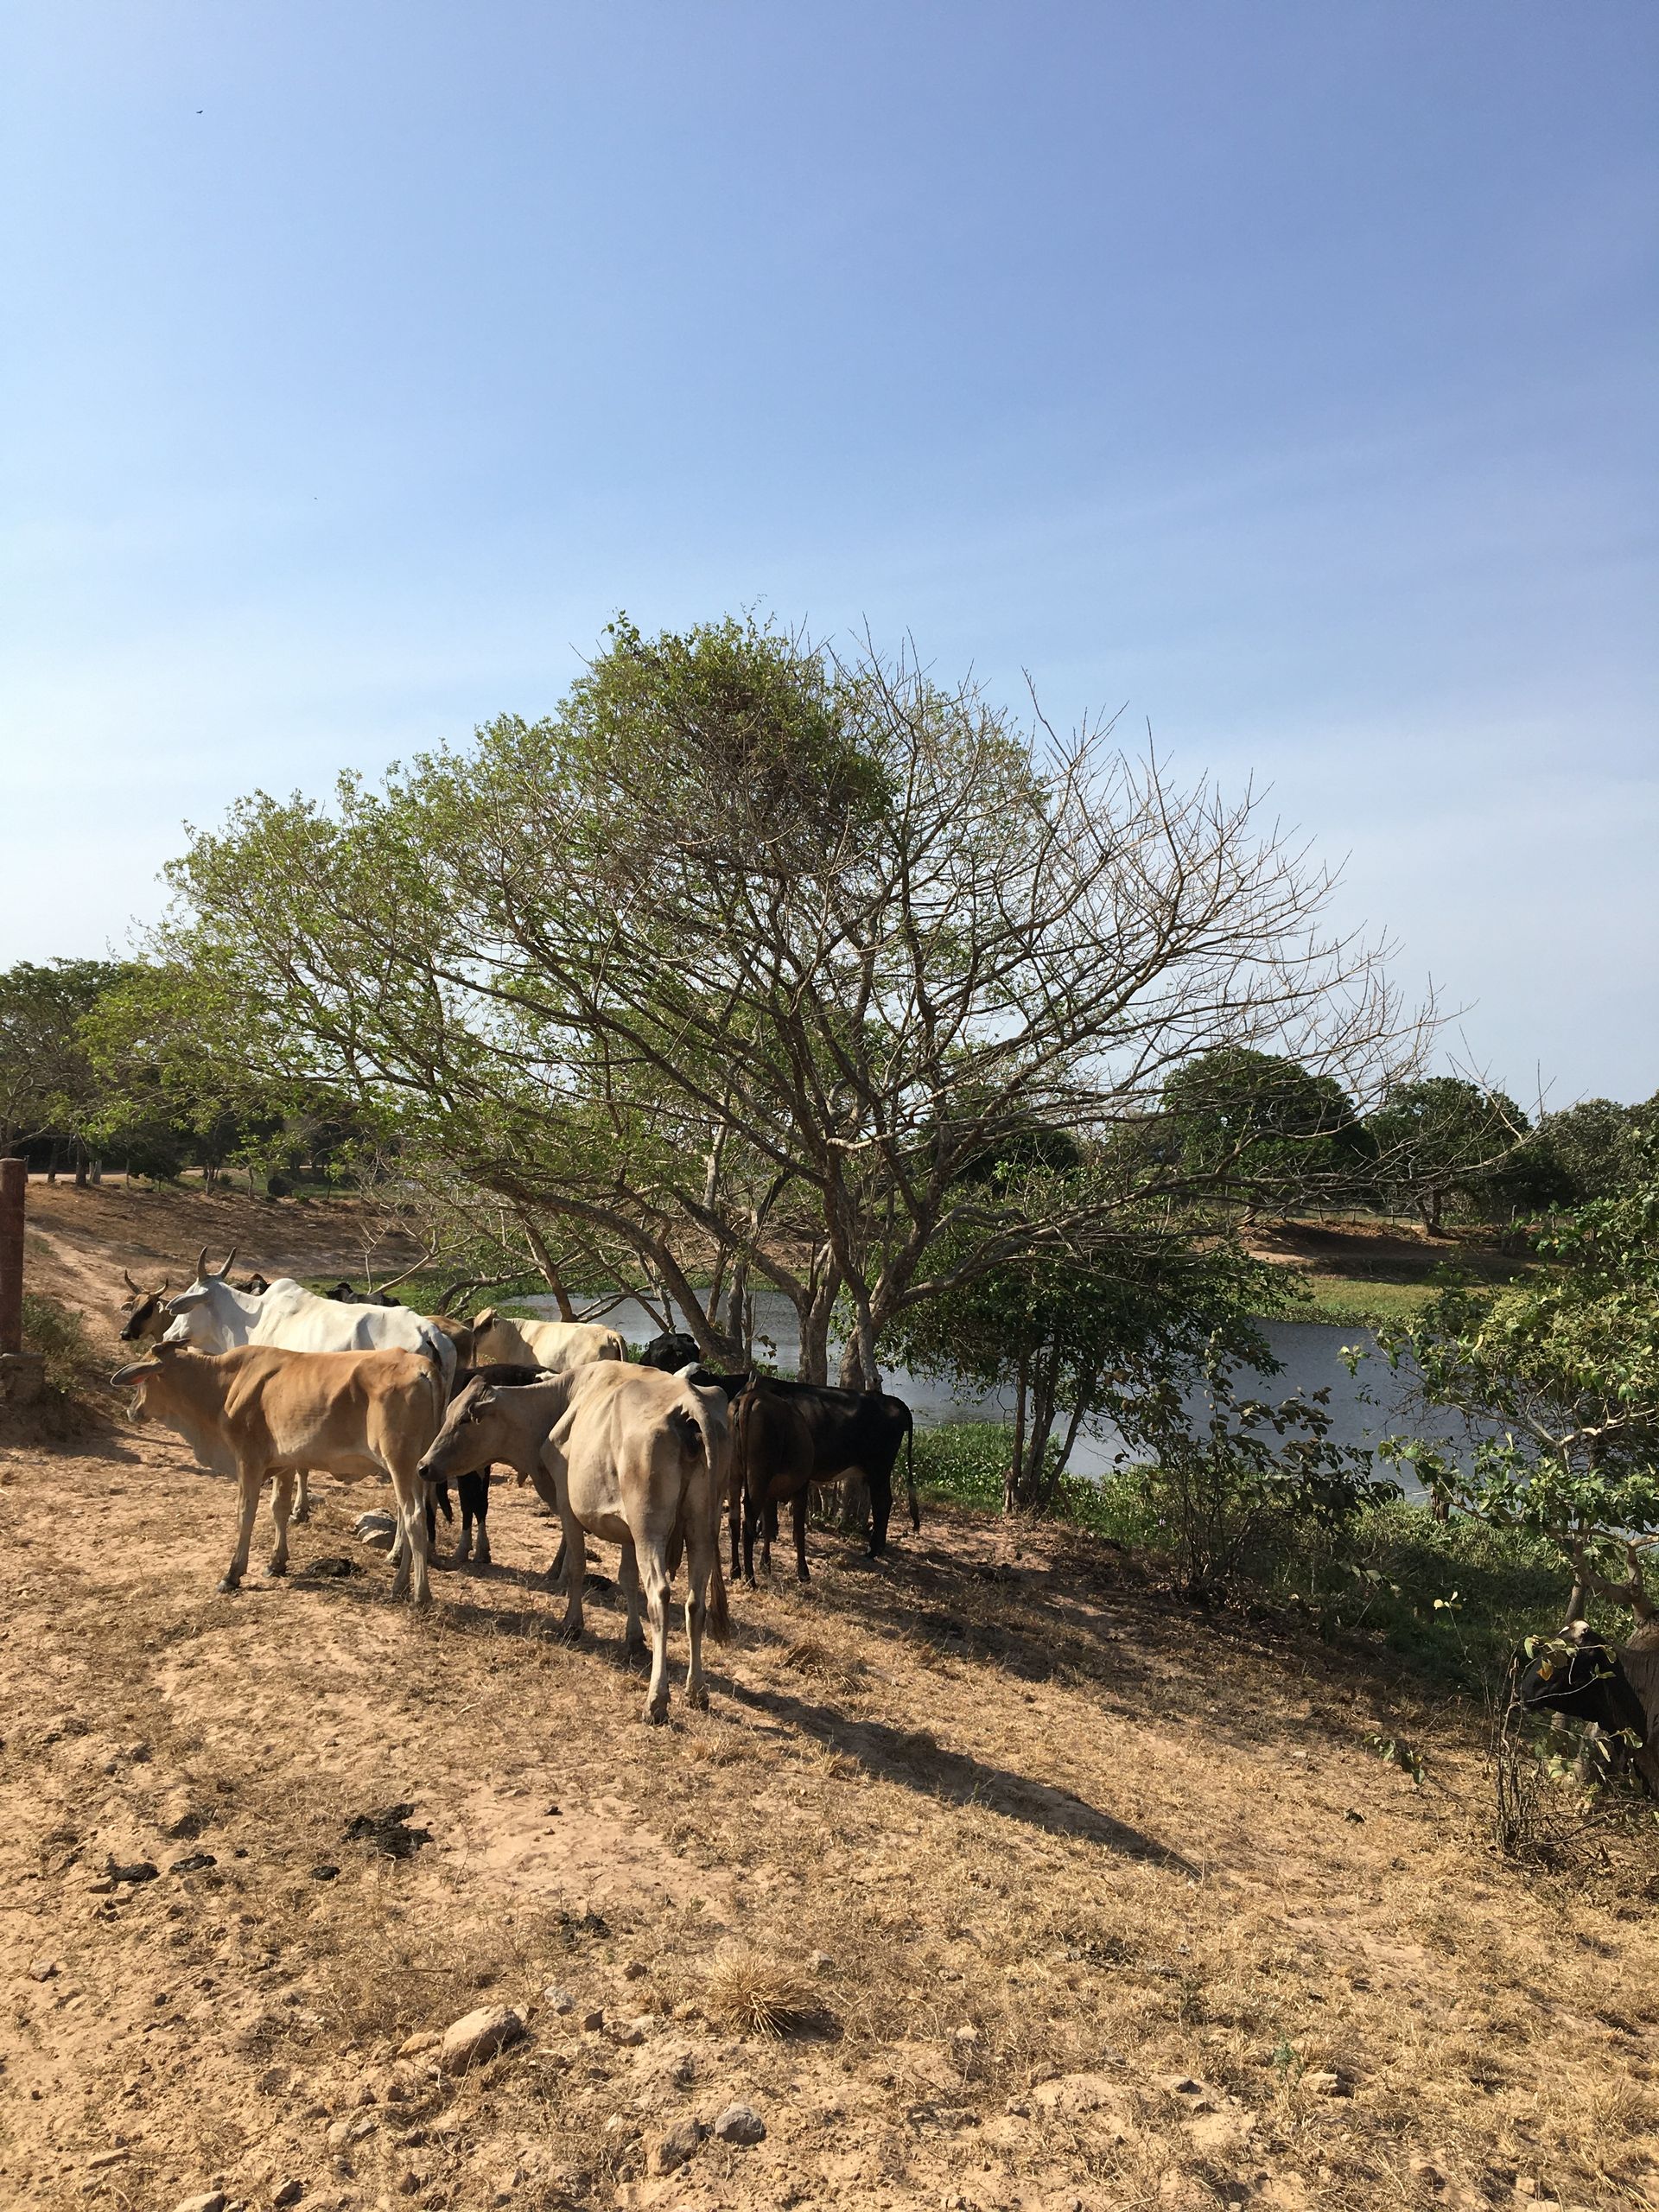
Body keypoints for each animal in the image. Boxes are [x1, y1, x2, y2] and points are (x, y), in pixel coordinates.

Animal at [110, 1340, 445, 1602]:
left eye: (143, 1381)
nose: (131, 1410)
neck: (225, 1386)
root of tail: (421, 1366)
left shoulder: (249, 1460)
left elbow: (246, 1513)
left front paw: (232, 1574)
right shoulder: (284, 1462)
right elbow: (278, 1508)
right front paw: (277, 1562)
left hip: (399, 1462)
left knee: (413, 1518)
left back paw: (420, 1594)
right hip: (414, 1468)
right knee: (408, 1515)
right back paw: (399, 1586)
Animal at [417, 1362, 730, 1722]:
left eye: (464, 1420)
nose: (423, 1466)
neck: (560, 1402)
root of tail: (689, 1403)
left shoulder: (570, 1506)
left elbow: (577, 1566)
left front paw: (572, 1624)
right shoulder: (625, 1528)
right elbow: (627, 1579)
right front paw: (633, 1639)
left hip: (649, 1526)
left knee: (660, 1596)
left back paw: (656, 1700)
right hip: (700, 1529)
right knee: (695, 1603)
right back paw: (697, 1691)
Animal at [729, 1376, 919, 1585]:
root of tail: (893, 1401)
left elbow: (790, 1526)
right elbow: (770, 1520)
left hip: (879, 1470)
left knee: (882, 1504)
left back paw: (872, 1550)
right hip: (876, 1472)